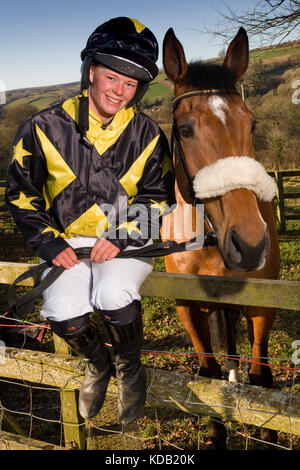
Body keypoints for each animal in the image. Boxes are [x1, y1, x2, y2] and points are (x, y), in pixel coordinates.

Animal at [162, 26, 282, 452]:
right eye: (185, 129)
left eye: (252, 123)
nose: (250, 244)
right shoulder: (187, 307)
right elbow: (208, 375)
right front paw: (217, 435)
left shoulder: (262, 305)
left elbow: (261, 375)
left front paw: (268, 434)